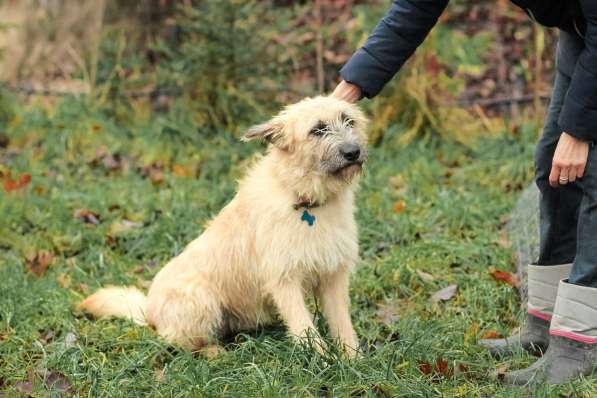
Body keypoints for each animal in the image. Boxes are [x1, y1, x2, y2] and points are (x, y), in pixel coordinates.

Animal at [78, 95, 368, 356]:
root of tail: (149, 309)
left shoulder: (333, 276)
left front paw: (352, 360)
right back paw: (214, 352)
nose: (353, 152)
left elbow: (342, 323)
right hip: (200, 297)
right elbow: (304, 328)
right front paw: (322, 362)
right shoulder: (284, 279)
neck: (308, 199)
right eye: (317, 129)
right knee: (177, 342)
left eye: (348, 120)